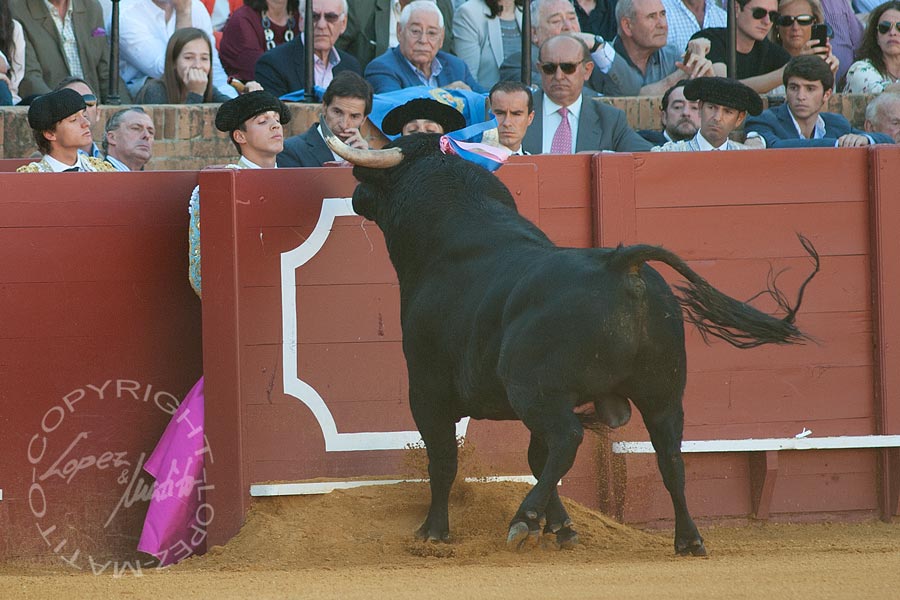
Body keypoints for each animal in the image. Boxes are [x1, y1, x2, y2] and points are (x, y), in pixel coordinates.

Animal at [320, 123, 820, 556]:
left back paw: (522, 519)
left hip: (535, 390)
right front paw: (560, 526)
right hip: (660, 393)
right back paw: (689, 539)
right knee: (669, 459)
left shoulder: (426, 388)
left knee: (567, 439)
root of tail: (622, 264)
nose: (355, 190)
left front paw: (434, 532)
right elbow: (534, 457)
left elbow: (445, 458)